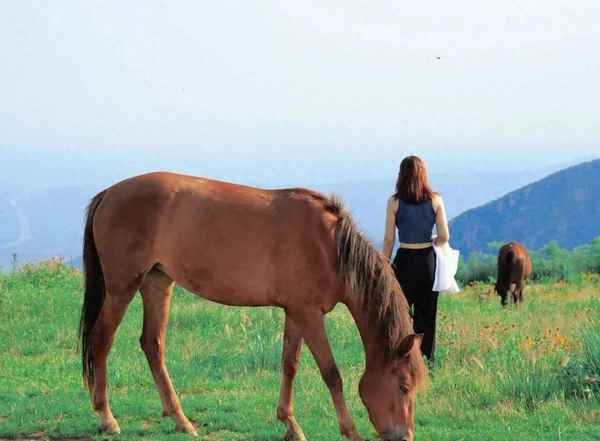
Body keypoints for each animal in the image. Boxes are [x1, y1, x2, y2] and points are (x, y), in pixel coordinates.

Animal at [78, 171, 426, 440]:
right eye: (404, 387)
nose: (404, 436)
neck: (330, 247)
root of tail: (108, 194)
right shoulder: (310, 315)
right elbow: (331, 373)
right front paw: (349, 430)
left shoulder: (296, 313)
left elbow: (289, 364)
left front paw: (290, 425)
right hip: (122, 287)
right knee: (101, 340)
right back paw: (107, 418)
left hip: (157, 282)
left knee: (152, 344)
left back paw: (181, 420)